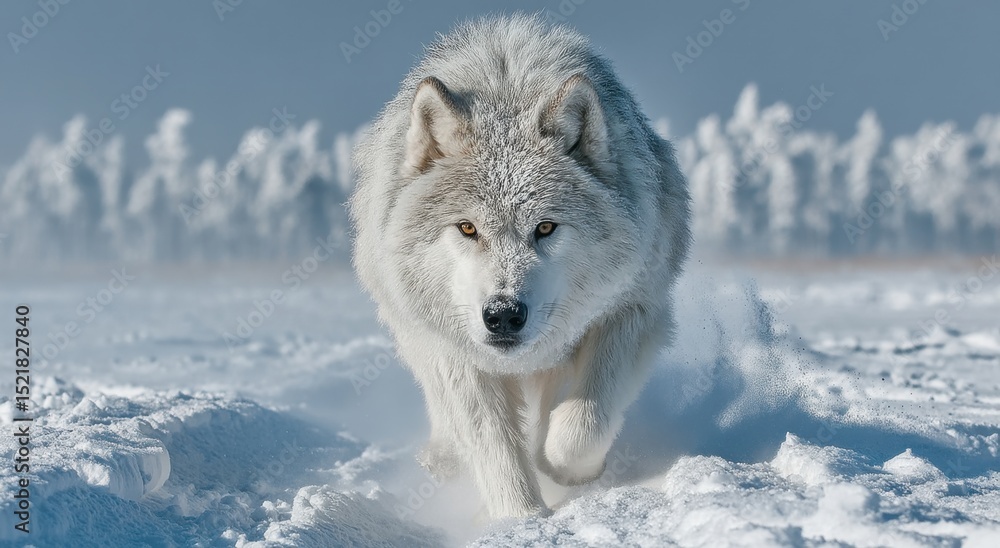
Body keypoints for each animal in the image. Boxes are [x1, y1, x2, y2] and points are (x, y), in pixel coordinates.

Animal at [350, 14, 690, 519]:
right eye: (467, 228)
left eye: (545, 227)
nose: (504, 315)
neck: (507, 89)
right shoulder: (454, 351)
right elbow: (494, 449)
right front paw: (523, 519)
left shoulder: (631, 310)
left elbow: (583, 423)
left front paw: (564, 470)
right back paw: (442, 456)